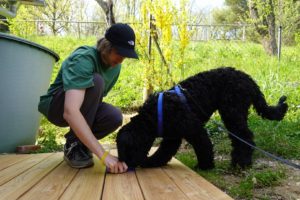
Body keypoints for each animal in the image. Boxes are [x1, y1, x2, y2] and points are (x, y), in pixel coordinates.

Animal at [116, 67, 288, 170]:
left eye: (127, 149)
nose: (127, 166)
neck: (153, 115)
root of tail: (248, 79)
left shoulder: (194, 129)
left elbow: (203, 146)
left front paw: (205, 166)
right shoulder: (173, 136)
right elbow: (163, 152)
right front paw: (152, 162)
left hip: (232, 113)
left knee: (246, 138)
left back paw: (242, 163)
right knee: (239, 139)